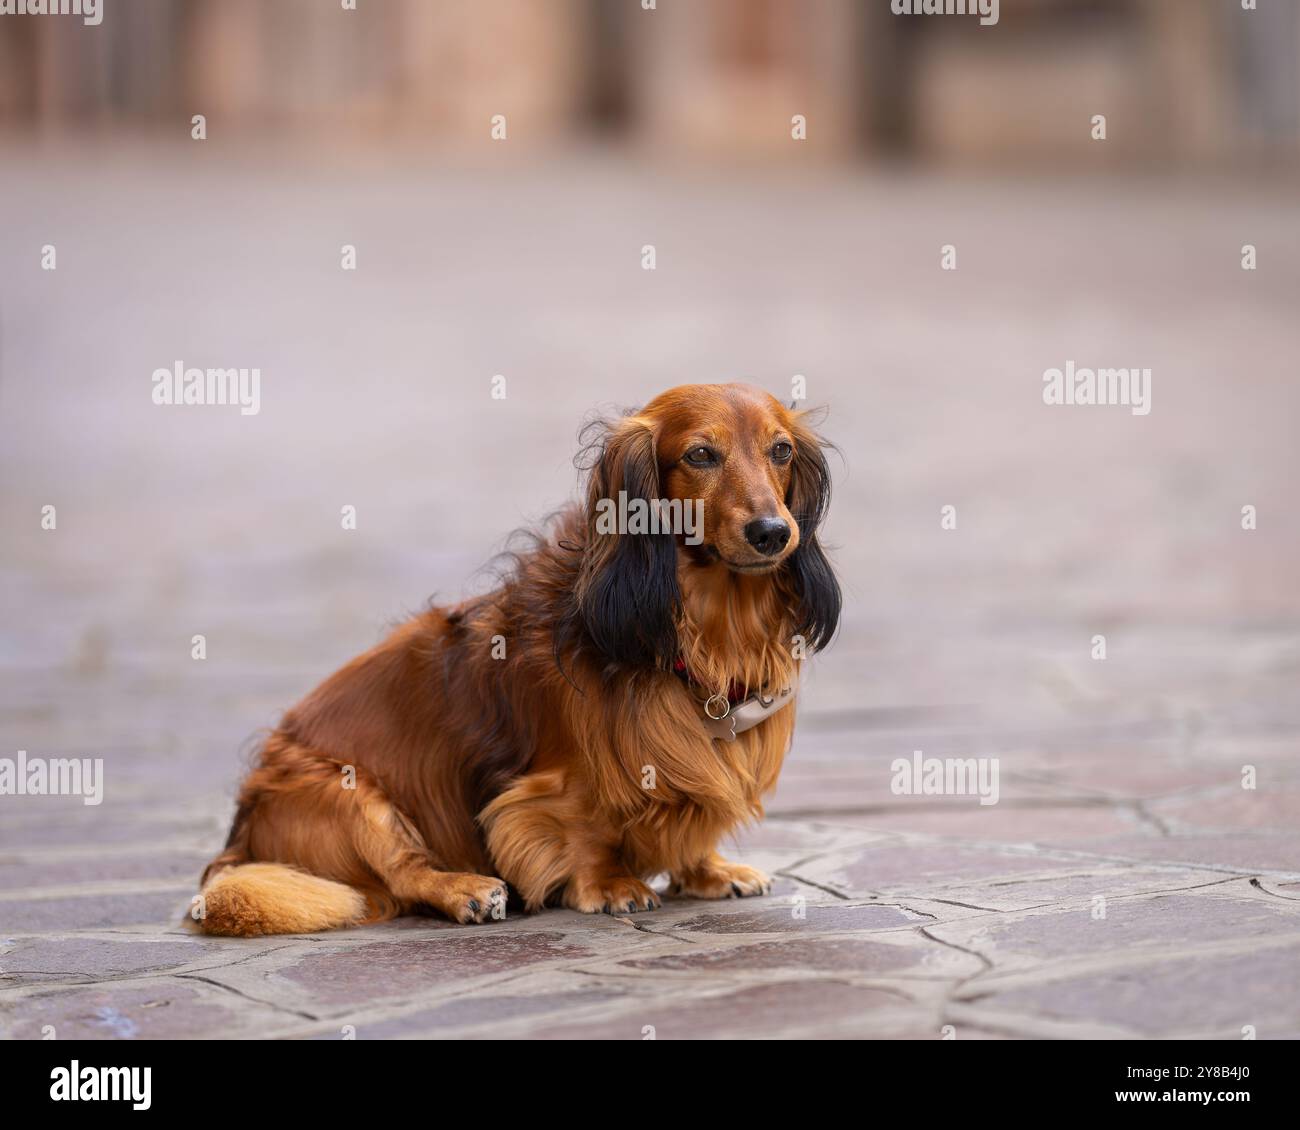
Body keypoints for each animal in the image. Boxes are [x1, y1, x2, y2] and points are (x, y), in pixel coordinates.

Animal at [192, 382, 842, 931]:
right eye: (701, 455)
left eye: (781, 450)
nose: (772, 532)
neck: (703, 626)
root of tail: (240, 836)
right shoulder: (564, 779)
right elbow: (585, 826)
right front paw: (609, 884)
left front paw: (707, 870)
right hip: (350, 796)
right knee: (405, 873)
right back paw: (465, 890)